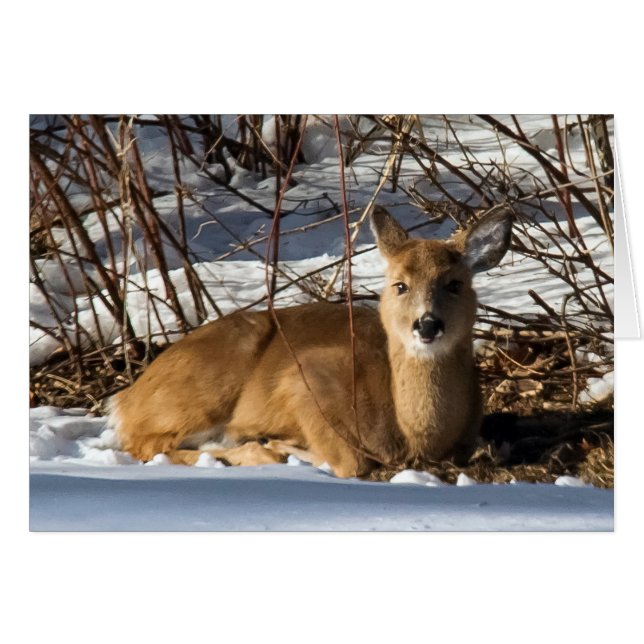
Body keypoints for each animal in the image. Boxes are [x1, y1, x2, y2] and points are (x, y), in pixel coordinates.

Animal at [107, 205, 512, 478]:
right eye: (400, 285)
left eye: (455, 283)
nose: (427, 325)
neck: (414, 435)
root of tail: (127, 396)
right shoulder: (307, 376)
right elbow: (350, 462)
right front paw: (280, 445)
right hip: (201, 394)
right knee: (147, 443)